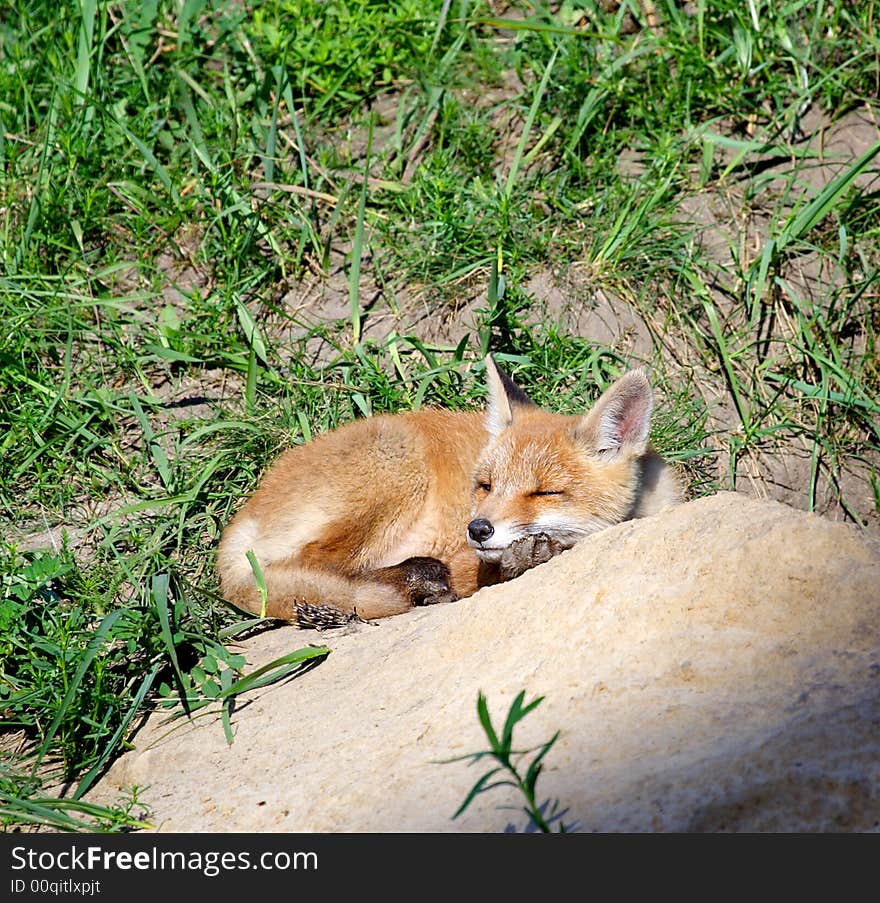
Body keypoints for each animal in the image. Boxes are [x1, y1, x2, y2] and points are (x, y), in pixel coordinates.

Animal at [217, 356, 684, 624]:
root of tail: (239, 519)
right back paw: (413, 583)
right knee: (316, 565)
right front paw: (523, 560)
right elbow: (487, 574)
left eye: (544, 493)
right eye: (486, 486)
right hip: (397, 468)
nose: (477, 529)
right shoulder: (464, 561)